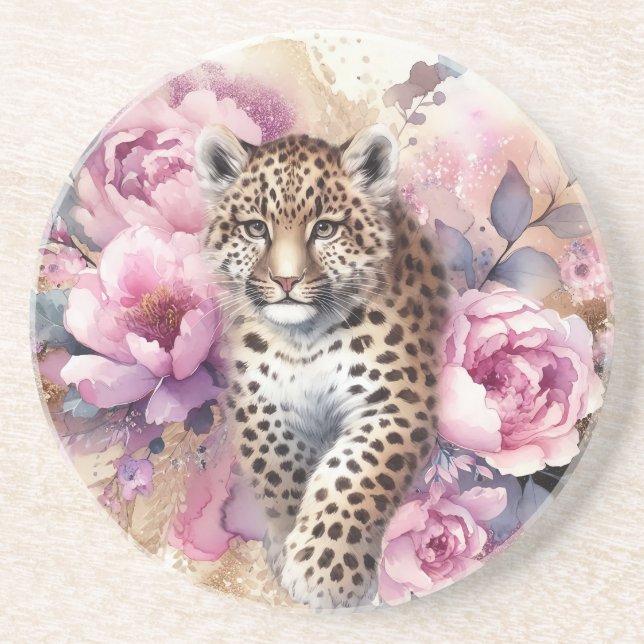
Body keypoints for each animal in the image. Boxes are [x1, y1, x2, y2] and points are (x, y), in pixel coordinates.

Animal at [195, 123, 449, 609]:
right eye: (256, 228)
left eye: (325, 229)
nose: (286, 280)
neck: (304, 341)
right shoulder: (259, 402)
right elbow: (278, 472)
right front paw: (284, 542)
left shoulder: (395, 401)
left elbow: (355, 475)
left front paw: (326, 571)